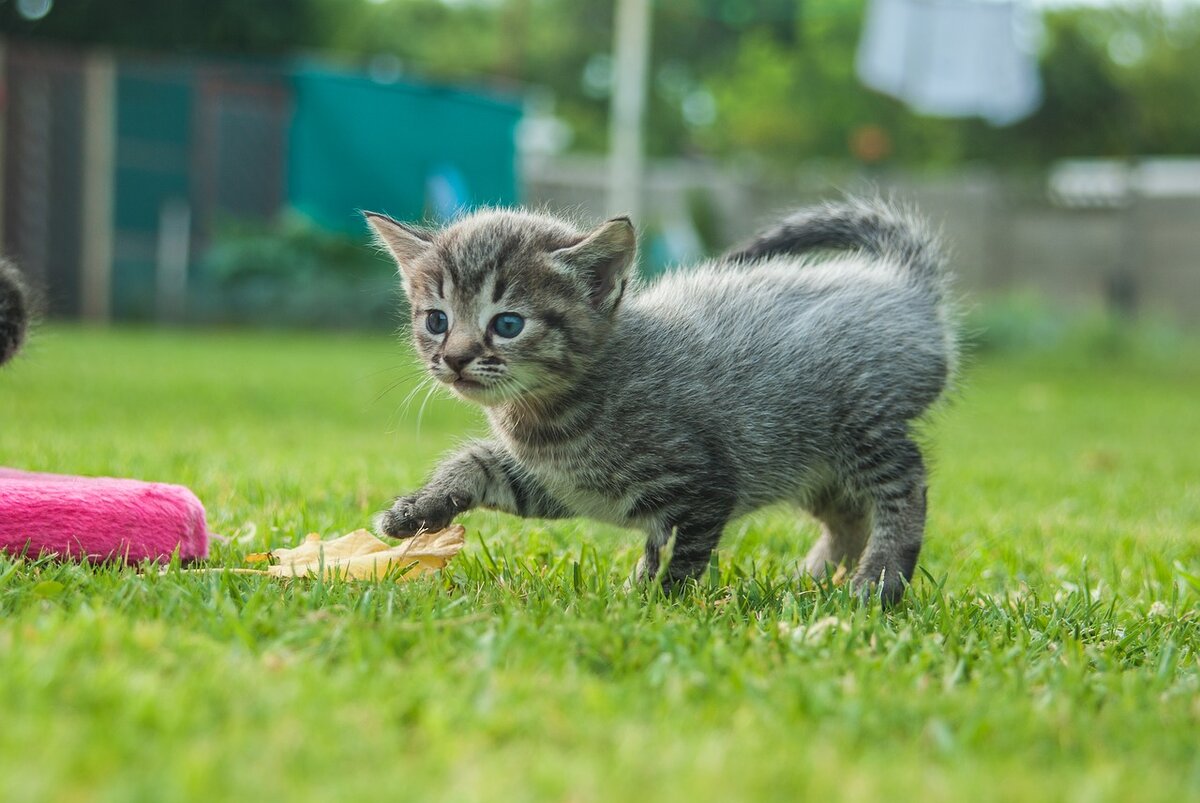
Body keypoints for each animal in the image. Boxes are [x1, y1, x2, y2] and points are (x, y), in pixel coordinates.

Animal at [364, 199, 955, 600]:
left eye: (508, 324)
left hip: (861, 425)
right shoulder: (563, 485)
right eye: (436, 320)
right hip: (803, 459)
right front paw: (418, 509)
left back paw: (878, 581)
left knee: (908, 484)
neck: (548, 419)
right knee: (849, 515)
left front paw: (644, 603)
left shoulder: (702, 485)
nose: (456, 358)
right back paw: (812, 578)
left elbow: (676, 556)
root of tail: (903, 285)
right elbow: (478, 463)